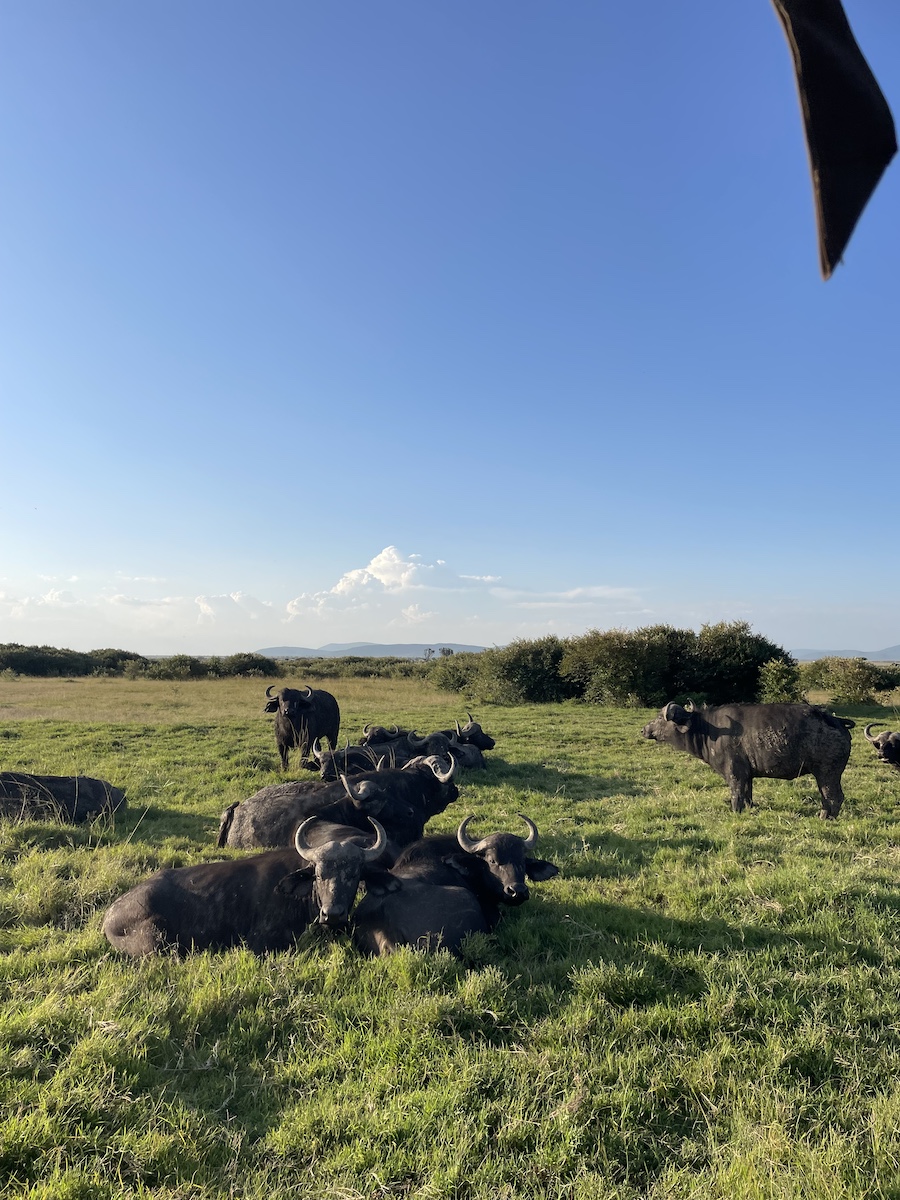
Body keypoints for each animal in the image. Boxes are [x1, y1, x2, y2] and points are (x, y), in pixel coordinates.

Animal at [641, 701, 855, 818]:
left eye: (660, 718)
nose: (643, 729)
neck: (709, 729)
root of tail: (834, 720)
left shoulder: (734, 773)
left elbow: (736, 795)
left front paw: (736, 811)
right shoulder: (747, 775)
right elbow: (747, 794)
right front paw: (749, 808)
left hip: (827, 773)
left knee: (833, 797)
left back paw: (824, 817)